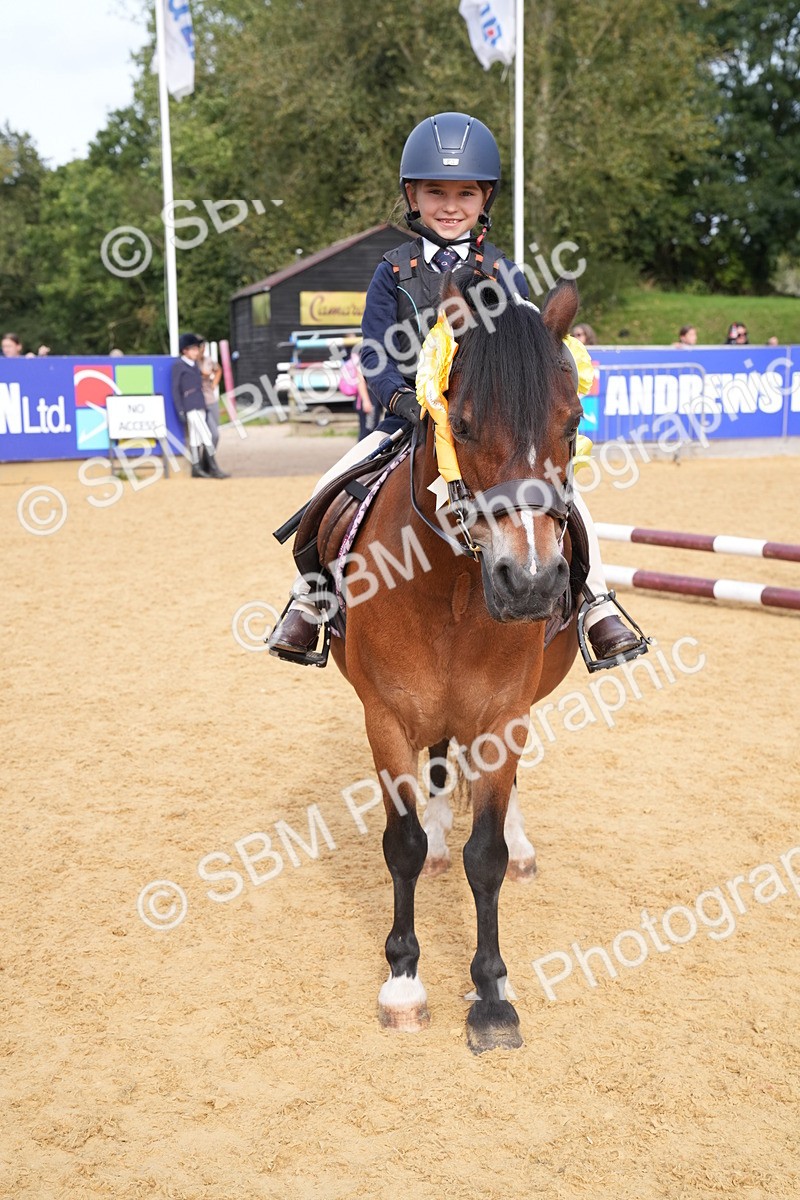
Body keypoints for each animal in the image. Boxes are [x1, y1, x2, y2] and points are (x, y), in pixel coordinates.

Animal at [321, 273, 584, 1053]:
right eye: (459, 425)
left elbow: (486, 855)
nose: (529, 583)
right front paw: (404, 980)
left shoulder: (502, 718)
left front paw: (492, 993)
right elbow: (402, 843)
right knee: (436, 767)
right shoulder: (384, 718)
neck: (453, 589)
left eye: (573, 424)